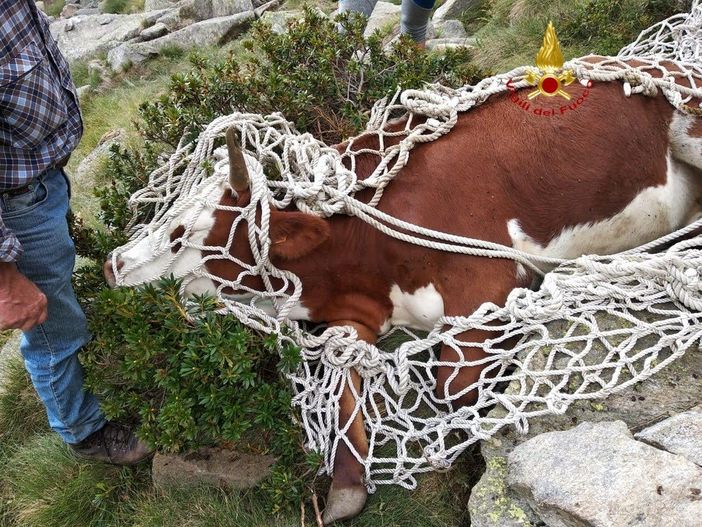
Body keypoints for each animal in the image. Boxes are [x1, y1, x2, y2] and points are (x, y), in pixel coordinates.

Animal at [105, 65, 702, 524]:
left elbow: (451, 388)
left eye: (180, 232)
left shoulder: (487, 281)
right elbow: (340, 383)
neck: (357, 252)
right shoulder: (358, 314)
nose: (112, 266)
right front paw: (347, 486)